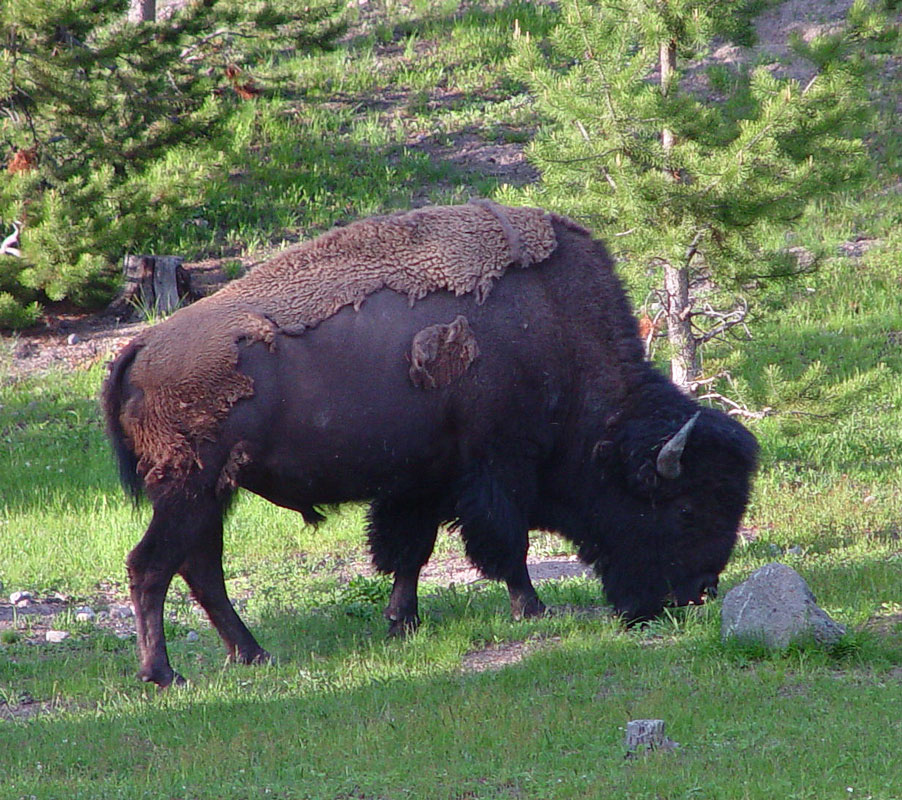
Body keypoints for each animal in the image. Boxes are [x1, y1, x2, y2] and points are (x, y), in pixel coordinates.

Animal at [102, 203, 760, 684]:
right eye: (687, 508)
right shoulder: (498, 468)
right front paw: (532, 609)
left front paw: (403, 623)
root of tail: (140, 348)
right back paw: (163, 674)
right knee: (150, 567)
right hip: (190, 490)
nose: (697, 595)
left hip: (212, 494)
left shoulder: (420, 481)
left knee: (200, 569)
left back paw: (253, 654)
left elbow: (409, 552)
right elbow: (506, 544)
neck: (556, 331)